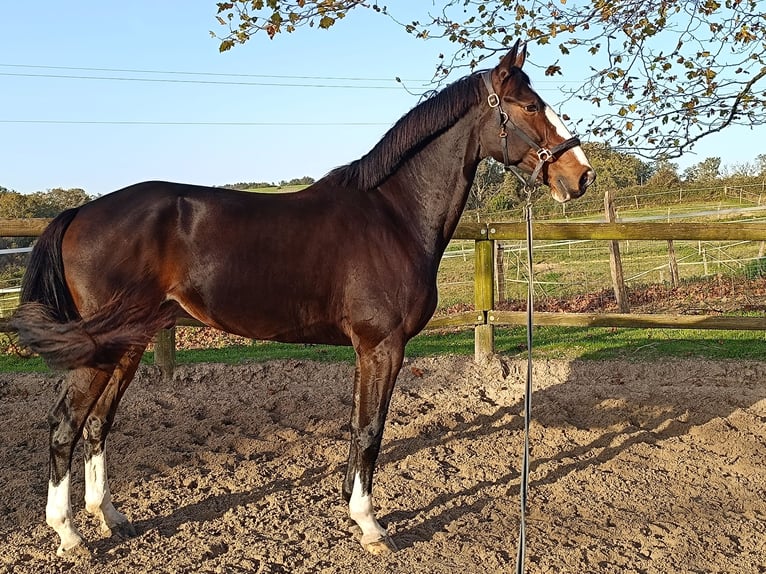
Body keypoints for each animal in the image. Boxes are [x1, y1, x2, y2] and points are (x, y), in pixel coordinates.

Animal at [12, 41, 595, 558]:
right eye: (530, 106)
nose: (581, 175)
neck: (393, 215)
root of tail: (80, 213)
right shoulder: (382, 347)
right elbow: (370, 430)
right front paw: (370, 525)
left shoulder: (370, 350)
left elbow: (361, 428)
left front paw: (354, 512)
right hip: (101, 349)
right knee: (65, 425)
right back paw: (69, 537)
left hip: (128, 344)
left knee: (98, 424)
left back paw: (109, 517)